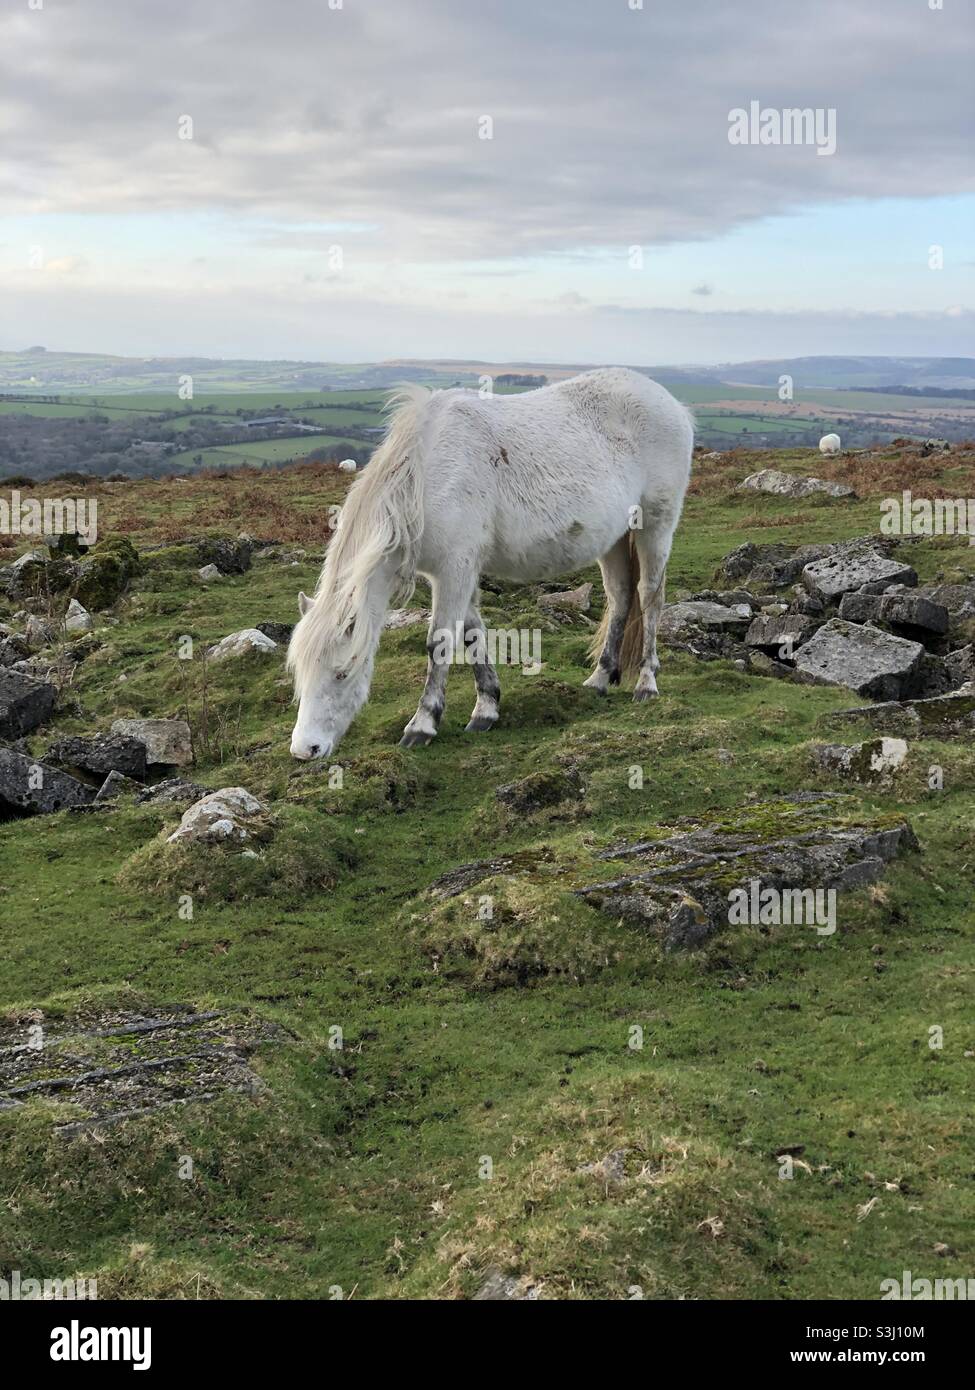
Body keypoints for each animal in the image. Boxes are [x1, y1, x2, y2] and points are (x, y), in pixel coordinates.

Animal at [287, 367, 693, 759]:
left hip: (655, 526)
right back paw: (600, 678)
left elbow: (438, 642)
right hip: (615, 538)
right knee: (620, 596)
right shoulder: (458, 572)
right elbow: (472, 634)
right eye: (300, 674)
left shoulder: (454, 569)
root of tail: (673, 405)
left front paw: (423, 724)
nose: (306, 749)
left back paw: (646, 683)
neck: (425, 473)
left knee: (649, 598)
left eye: (342, 673)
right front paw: (486, 708)